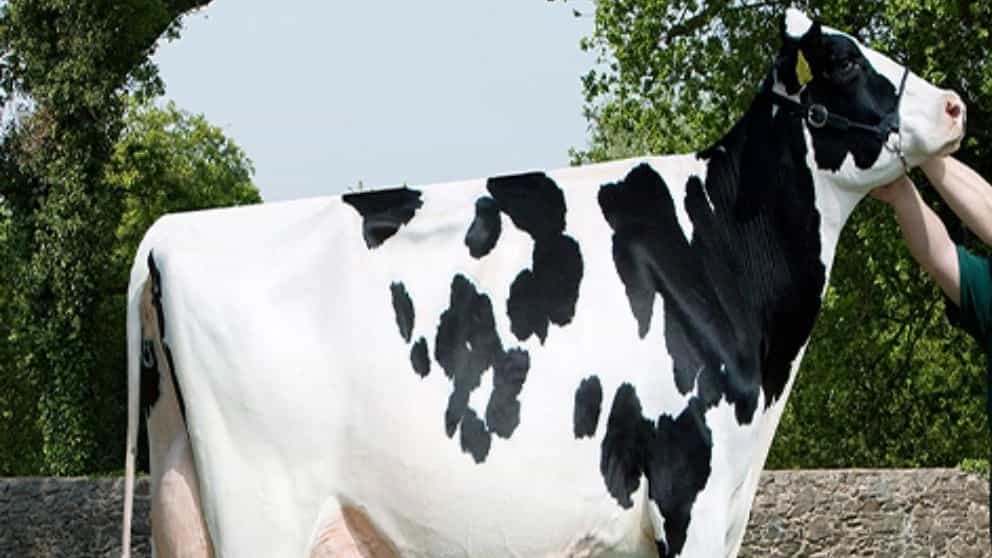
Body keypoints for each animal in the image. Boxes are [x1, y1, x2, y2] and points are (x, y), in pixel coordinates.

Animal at [121, 9, 965, 558]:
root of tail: (171, 230)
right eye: (847, 61)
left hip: (186, 501)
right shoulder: (688, 491)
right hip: (262, 510)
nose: (957, 104)